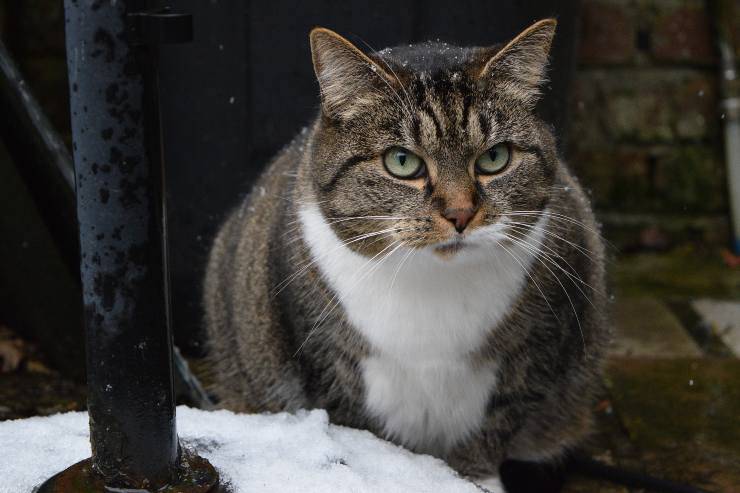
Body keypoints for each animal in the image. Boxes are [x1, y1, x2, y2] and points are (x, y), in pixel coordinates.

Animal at [205, 18, 608, 488]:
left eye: (494, 157)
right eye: (402, 162)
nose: (460, 213)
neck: (431, 282)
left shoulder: (539, 342)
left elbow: (496, 423)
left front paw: (474, 481)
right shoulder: (325, 362)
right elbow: (361, 433)